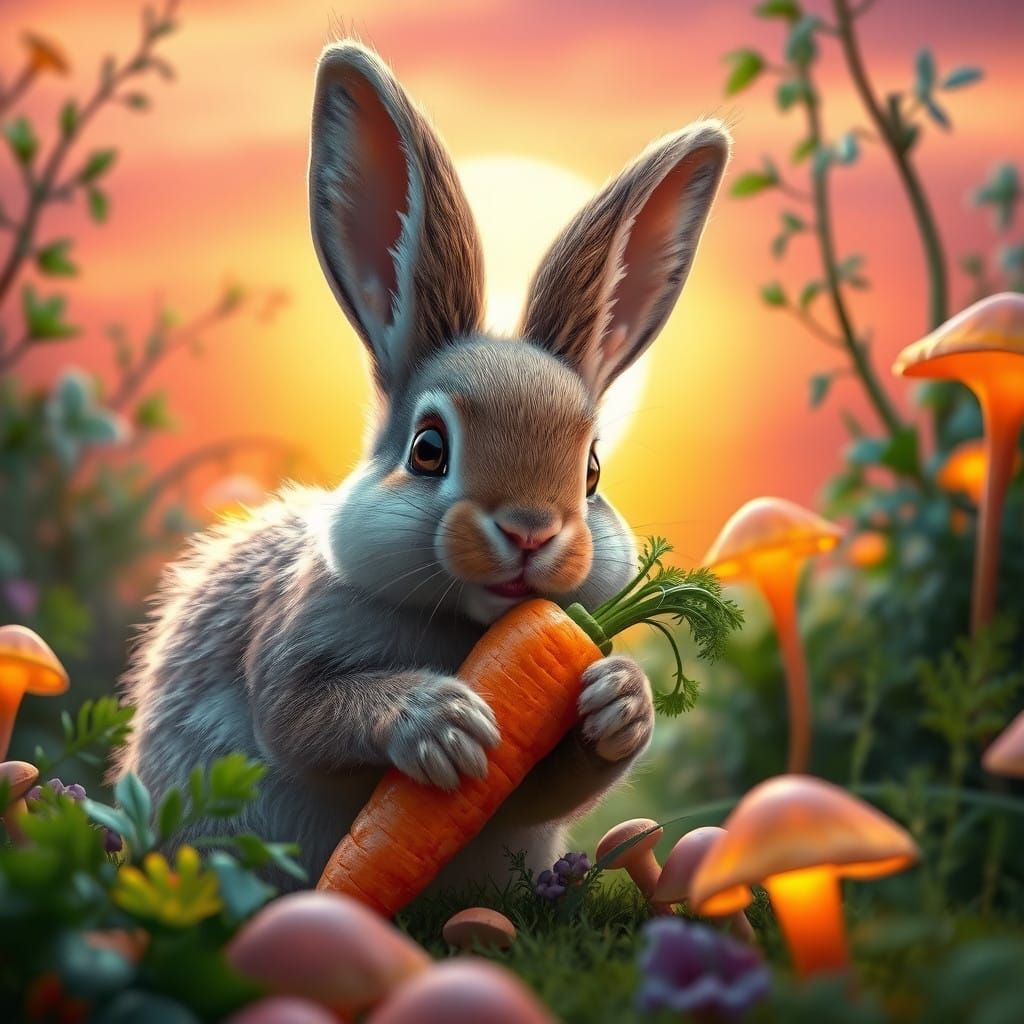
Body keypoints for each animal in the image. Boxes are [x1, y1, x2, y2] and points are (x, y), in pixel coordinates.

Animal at [114, 41, 730, 894]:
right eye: (428, 448)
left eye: (593, 471)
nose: (530, 531)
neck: (461, 630)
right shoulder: (290, 650)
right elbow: (301, 718)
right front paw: (439, 721)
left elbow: (559, 782)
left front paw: (622, 702)